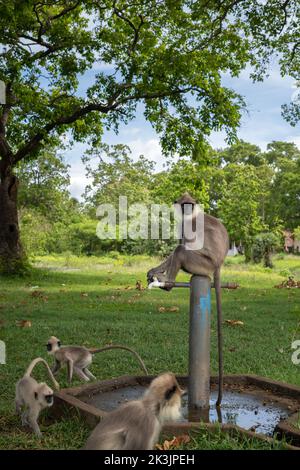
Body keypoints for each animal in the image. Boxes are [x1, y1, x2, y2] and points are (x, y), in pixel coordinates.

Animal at [146, 193, 229, 406]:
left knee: (181, 250)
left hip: (201, 263)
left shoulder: (187, 225)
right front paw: (154, 271)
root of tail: (218, 265)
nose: (188, 210)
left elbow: (183, 244)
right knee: (179, 249)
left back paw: (167, 284)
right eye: (185, 205)